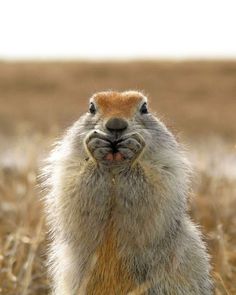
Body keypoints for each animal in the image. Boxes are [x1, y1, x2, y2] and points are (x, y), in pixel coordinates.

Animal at [43, 91, 213, 294]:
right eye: (91, 107)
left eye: (144, 108)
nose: (116, 123)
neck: (114, 170)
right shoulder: (67, 167)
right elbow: (72, 193)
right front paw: (96, 152)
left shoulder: (168, 168)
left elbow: (156, 194)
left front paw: (132, 151)